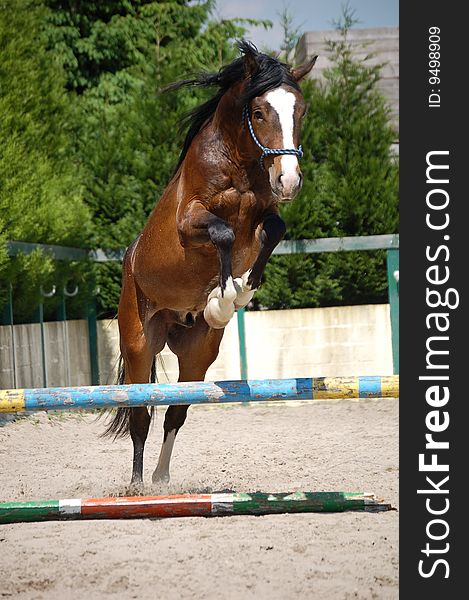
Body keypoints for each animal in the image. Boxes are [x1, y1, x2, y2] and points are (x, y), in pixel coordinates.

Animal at [104, 39, 316, 486]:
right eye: (259, 112)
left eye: (301, 111)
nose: (288, 180)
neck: (237, 163)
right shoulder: (190, 220)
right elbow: (223, 234)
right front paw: (222, 297)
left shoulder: (266, 214)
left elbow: (274, 230)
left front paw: (241, 291)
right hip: (139, 342)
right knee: (140, 413)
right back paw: (137, 487)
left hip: (197, 354)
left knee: (175, 412)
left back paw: (161, 481)